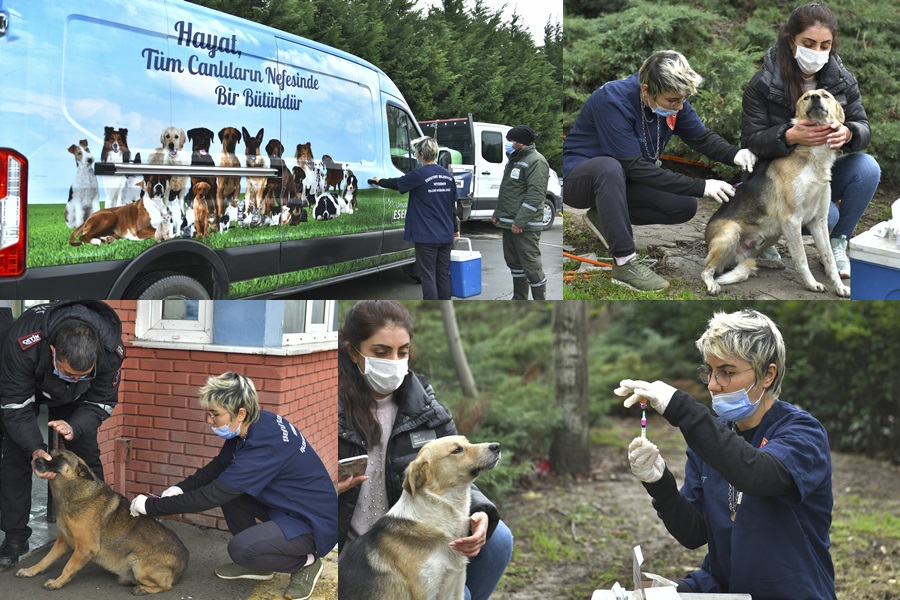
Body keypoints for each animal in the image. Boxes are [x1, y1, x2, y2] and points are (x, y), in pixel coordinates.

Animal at [14, 448, 188, 592]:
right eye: (48, 454)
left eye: (61, 458)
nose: (36, 460)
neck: (75, 491)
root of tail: (183, 563)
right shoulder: (63, 542)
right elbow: (45, 559)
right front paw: (31, 570)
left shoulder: (85, 548)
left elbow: (68, 567)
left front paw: (58, 582)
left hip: (139, 567)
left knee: (166, 586)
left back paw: (142, 588)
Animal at [704, 89, 852, 298]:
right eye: (806, 97)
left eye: (825, 95)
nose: (816, 98)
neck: (813, 158)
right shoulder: (792, 220)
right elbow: (801, 258)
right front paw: (811, 284)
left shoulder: (819, 221)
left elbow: (829, 259)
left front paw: (839, 286)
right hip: (731, 233)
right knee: (707, 269)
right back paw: (712, 283)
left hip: (773, 233)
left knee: (745, 260)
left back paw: (769, 262)